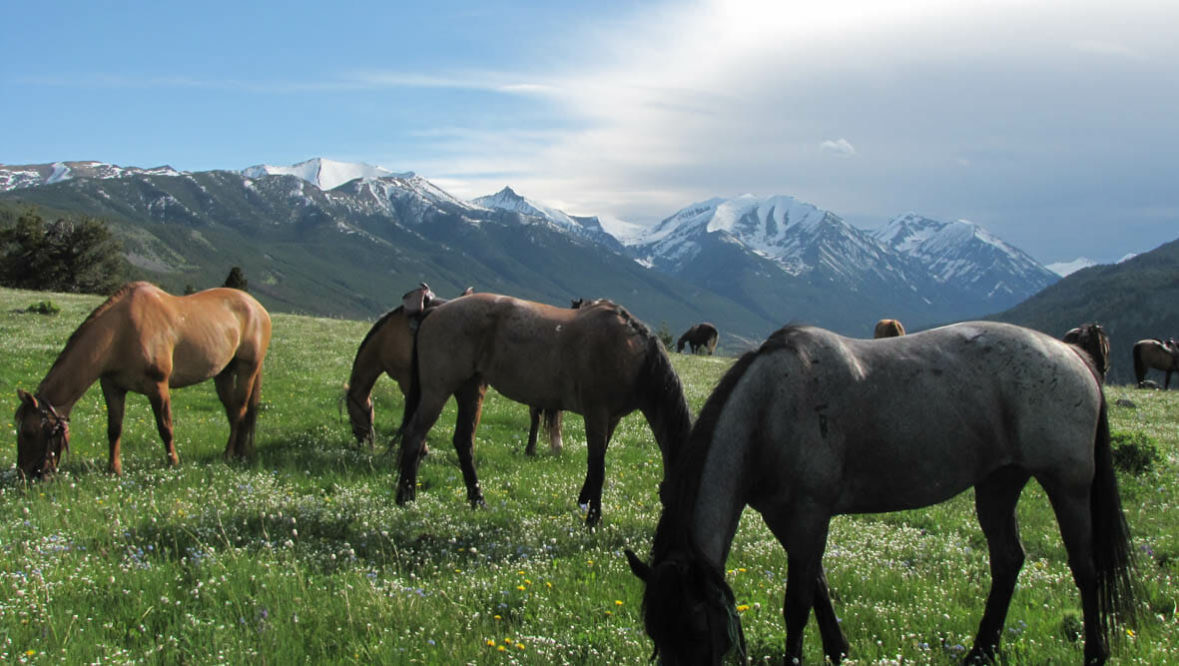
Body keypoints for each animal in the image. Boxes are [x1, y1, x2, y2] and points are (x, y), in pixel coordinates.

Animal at [15, 281, 271, 479]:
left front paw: (173, 463)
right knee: (232, 411)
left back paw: (229, 455)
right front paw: (114, 470)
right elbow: (114, 429)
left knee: (239, 411)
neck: (120, 333)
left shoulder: (158, 387)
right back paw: (237, 452)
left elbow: (165, 427)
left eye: (28, 432)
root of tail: (258, 308)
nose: (24, 475)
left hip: (247, 369)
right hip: (223, 374)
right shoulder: (112, 387)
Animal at [395, 292, 693, 526]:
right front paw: (593, 519)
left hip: (471, 390)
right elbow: (598, 466)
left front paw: (583, 501)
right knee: (414, 435)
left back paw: (478, 501)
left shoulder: (613, 419)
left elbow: (597, 463)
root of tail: (436, 310)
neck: (633, 355)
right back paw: (405, 498)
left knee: (463, 442)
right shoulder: (596, 414)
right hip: (437, 392)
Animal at [626, 321, 1137, 665]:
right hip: (998, 483)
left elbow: (797, 604)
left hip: (1067, 486)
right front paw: (838, 650)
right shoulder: (785, 518)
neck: (769, 409)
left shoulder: (810, 514)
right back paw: (981, 651)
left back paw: (1094, 652)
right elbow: (818, 588)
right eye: (656, 635)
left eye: (695, 631)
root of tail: (1073, 354)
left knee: (1086, 569)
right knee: (1008, 560)